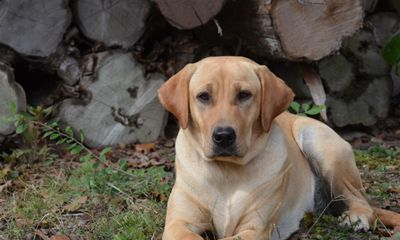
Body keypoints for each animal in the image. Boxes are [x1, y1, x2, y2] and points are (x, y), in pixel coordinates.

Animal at [157, 56, 400, 240]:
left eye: (244, 95)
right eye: (203, 96)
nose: (224, 136)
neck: (226, 172)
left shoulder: (255, 229)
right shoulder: (179, 225)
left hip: (317, 141)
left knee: (361, 200)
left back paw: (357, 216)